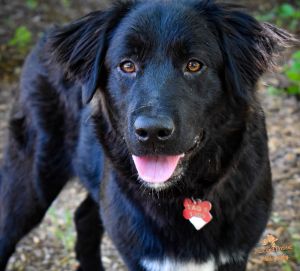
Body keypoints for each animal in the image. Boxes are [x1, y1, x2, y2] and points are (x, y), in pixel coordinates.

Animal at [0, 0, 292, 271]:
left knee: (84, 217)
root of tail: (46, 36)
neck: (186, 193)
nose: (152, 132)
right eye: (127, 66)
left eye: (194, 65)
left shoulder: (235, 253)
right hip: (32, 181)